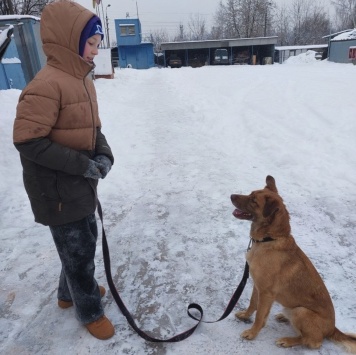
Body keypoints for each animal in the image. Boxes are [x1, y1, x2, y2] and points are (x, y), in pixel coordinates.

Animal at [231, 177, 356, 354]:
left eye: (254, 200)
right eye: (251, 194)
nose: (231, 196)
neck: (270, 239)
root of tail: (332, 329)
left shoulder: (266, 293)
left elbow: (260, 317)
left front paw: (252, 333)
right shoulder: (257, 286)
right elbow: (252, 303)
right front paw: (245, 315)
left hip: (301, 311)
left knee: (313, 342)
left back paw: (287, 341)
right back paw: (284, 317)